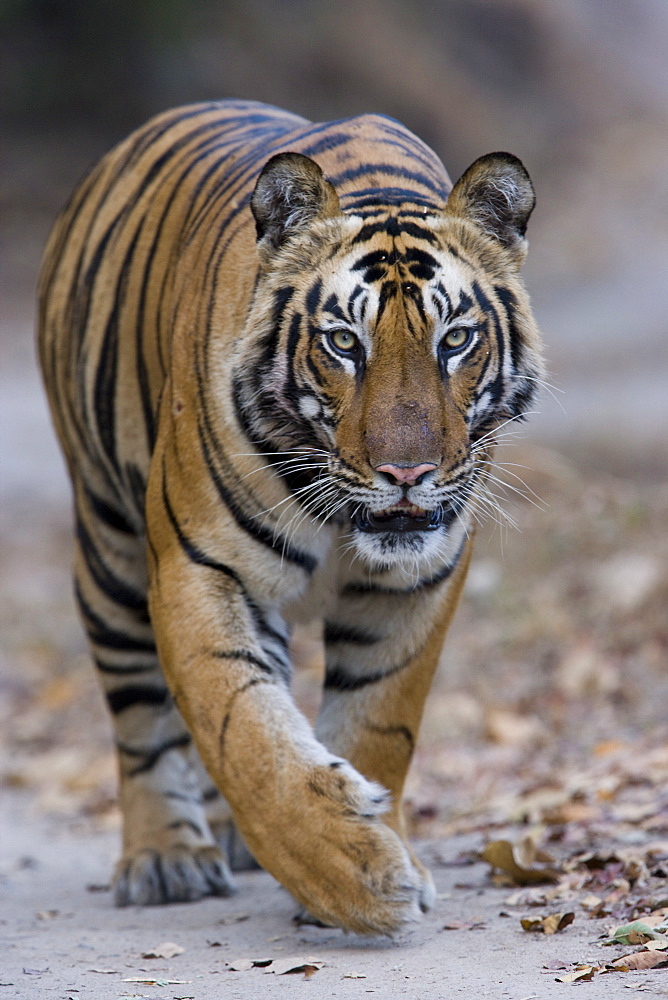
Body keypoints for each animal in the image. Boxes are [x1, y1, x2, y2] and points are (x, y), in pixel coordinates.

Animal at [37, 97, 544, 932]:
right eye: (343, 342)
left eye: (455, 340)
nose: (408, 474)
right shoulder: (200, 568)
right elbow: (241, 731)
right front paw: (355, 877)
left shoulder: (418, 582)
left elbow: (380, 722)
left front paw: (377, 847)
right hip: (109, 549)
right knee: (139, 714)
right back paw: (167, 858)